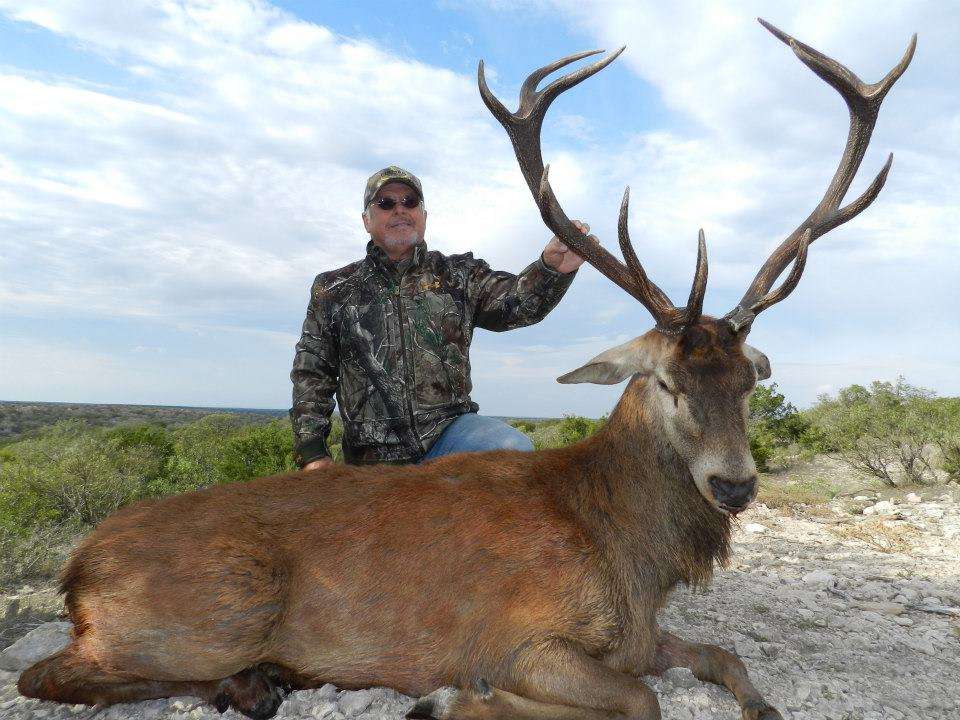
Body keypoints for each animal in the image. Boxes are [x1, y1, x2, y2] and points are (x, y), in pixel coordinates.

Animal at [17, 19, 913, 720]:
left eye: (750, 381)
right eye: (666, 381)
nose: (734, 485)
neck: (628, 555)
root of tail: (75, 569)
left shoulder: (639, 635)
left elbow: (726, 656)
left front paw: (762, 702)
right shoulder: (519, 632)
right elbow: (637, 700)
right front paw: (452, 698)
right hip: (213, 609)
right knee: (46, 674)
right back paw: (252, 682)